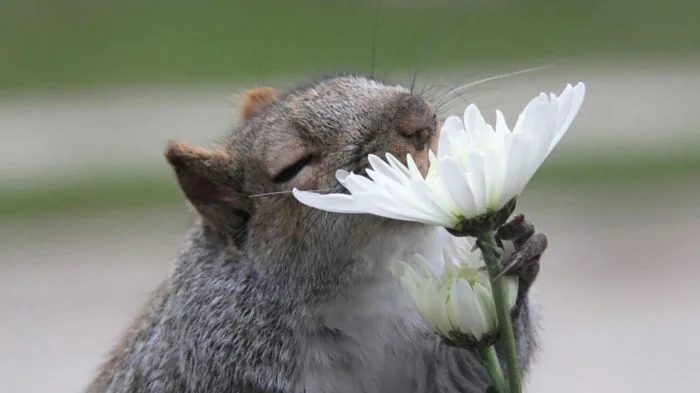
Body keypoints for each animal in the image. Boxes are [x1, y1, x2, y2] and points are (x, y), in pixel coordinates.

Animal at [86, 74, 548, 392]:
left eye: (363, 80)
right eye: (292, 166)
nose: (420, 118)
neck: (364, 291)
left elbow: (473, 374)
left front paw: (519, 250)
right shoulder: (226, 364)